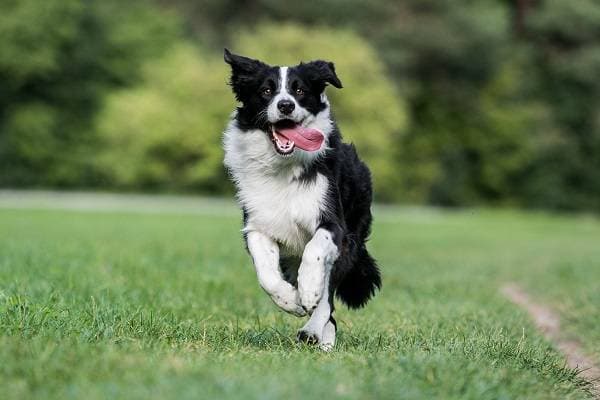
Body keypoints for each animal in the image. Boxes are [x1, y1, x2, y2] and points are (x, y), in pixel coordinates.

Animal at [223, 49, 382, 350]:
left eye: (300, 90)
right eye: (266, 90)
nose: (285, 105)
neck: (283, 168)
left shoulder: (334, 224)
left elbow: (315, 252)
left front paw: (307, 291)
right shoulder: (257, 225)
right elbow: (266, 273)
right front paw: (290, 300)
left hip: (351, 241)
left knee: (328, 299)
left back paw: (314, 331)